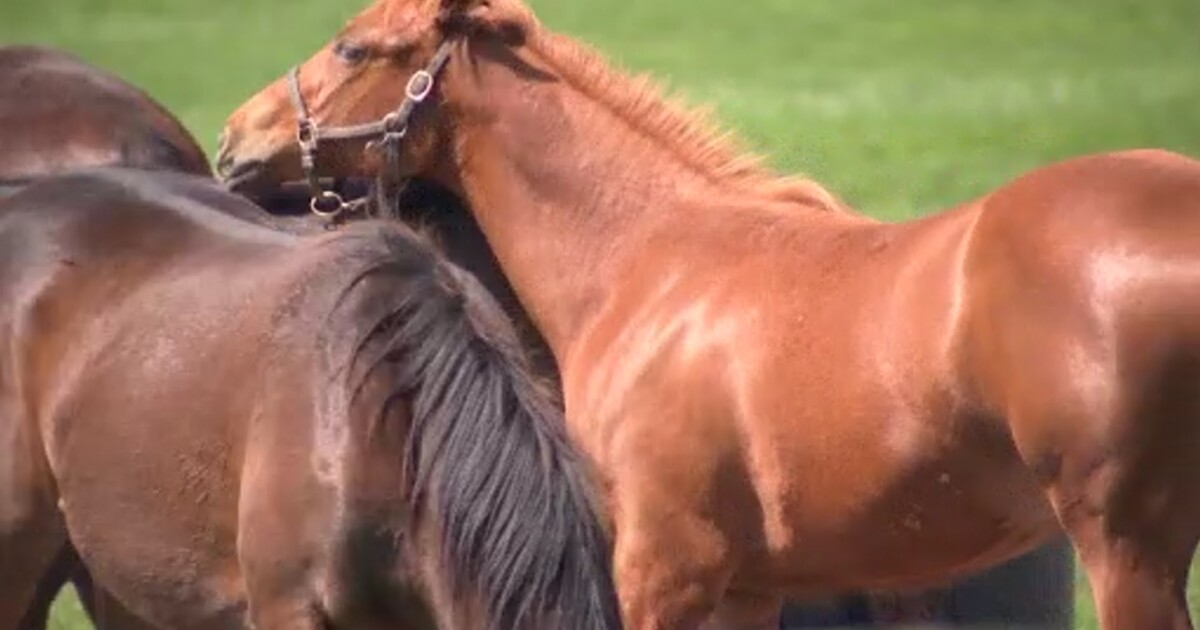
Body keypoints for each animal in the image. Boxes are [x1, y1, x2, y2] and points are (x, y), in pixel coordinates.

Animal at [216, 0, 1200, 628]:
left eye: (351, 49)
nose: (233, 139)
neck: (647, 262)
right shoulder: (744, 586)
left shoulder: (661, 568)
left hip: (1126, 551)